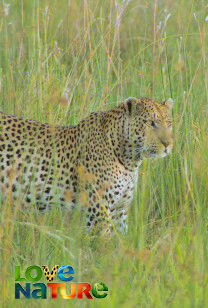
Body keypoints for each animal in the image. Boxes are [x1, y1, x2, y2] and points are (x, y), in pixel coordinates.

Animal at [0, 97, 173, 232]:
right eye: (151, 123)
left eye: (169, 124)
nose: (168, 144)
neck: (130, 160)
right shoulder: (98, 212)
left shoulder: (120, 210)